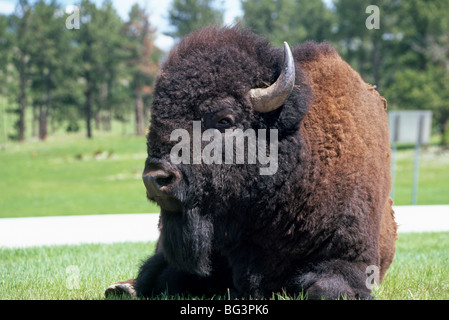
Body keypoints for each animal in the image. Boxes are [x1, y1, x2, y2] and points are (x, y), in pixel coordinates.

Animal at [107, 25, 398, 300]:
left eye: (224, 119)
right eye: (156, 116)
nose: (155, 179)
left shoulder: (349, 260)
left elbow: (325, 288)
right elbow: (162, 275)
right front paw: (128, 287)